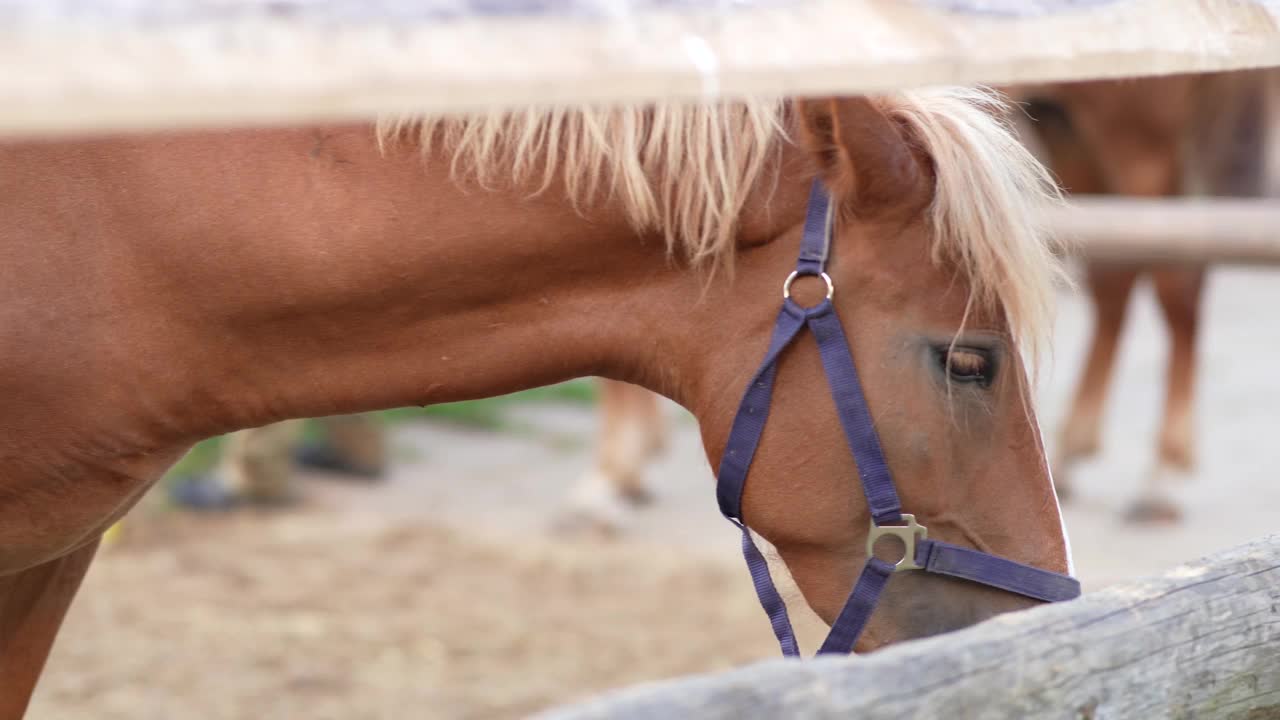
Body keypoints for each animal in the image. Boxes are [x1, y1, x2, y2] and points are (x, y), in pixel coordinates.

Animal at [1013, 71, 1274, 520]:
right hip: (1066, 126)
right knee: (1114, 272)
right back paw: (1069, 453)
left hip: (1137, 135)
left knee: (1171, 274)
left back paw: (1160, 474)